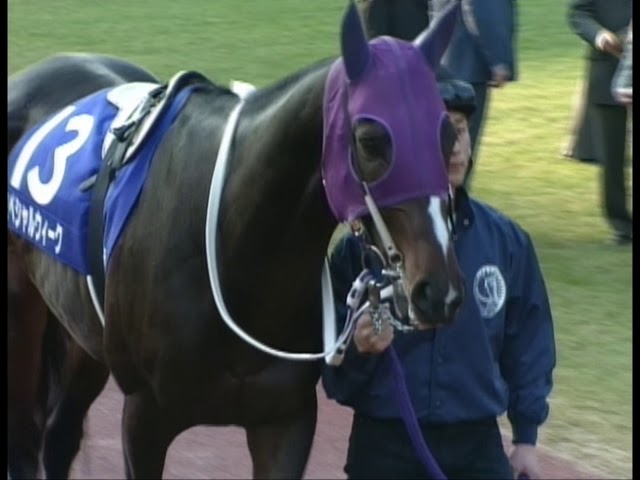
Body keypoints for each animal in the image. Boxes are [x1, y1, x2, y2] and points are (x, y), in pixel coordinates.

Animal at [7, 2, 465, 478]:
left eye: (447, 136)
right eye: (371, 140)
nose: (438, 291)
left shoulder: (285, 420)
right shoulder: (143, 415)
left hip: (82, 334)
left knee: (59, 436)